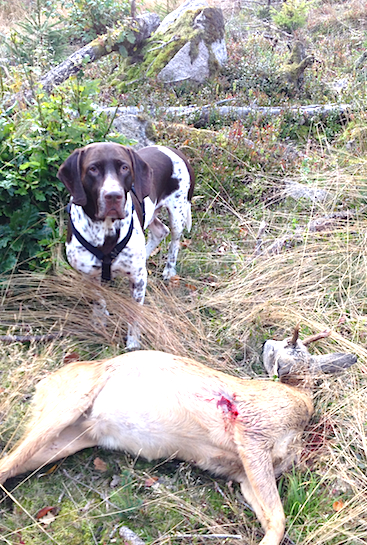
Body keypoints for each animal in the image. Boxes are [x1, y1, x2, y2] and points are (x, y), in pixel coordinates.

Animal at [57, 142, 196, 348]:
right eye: (93, 169)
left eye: (124, 167)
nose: (113, 196)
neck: (105, 229)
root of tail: (174, 150)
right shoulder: (89, 276)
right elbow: (98, 301)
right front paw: (99, 320)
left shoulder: (138, 280)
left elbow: (135, 314)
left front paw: (132, 344)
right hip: (151, 214)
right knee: (160, 231)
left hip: (177, 213)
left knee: (174, 239)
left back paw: (169, 270)